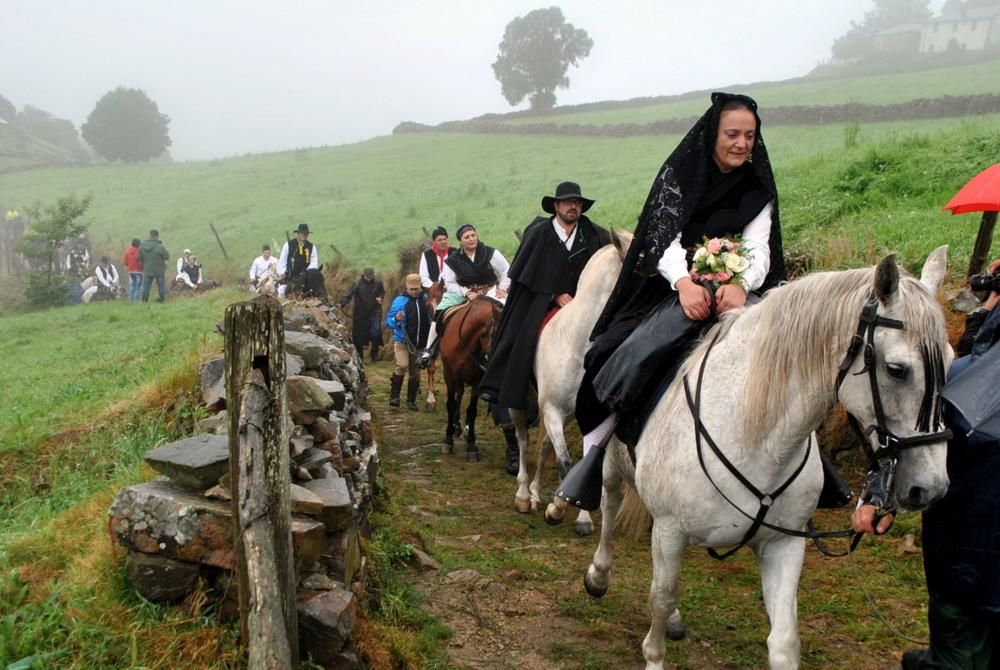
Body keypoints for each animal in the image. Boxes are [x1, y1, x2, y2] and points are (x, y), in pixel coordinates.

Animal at [438, 300, 500, 462]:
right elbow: (451, 404)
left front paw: (472, 445)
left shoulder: (477, 380)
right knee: (458, 397)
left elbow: (472, 411)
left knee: (460, 395)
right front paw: (447, 440)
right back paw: (456, 427)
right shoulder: (449, 374)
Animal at [508, 231, 632, 536]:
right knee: (524, 440)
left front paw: (583, 518)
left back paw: (536, 492)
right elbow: (565, 463)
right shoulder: (551, 409)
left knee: (544, 446)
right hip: (521, 403)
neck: (578, 345)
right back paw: (524, 495)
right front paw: (556, 510)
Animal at [568, 249, 948, 668]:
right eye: (897, 370)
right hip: (613, 467)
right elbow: (661, 597)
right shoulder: (671, 530)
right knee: (610, 505)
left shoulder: (784, 545)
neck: (758, 439)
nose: (931, 487)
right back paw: (598, 576)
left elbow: (783, 641)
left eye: (950, 361)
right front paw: (654, 654)